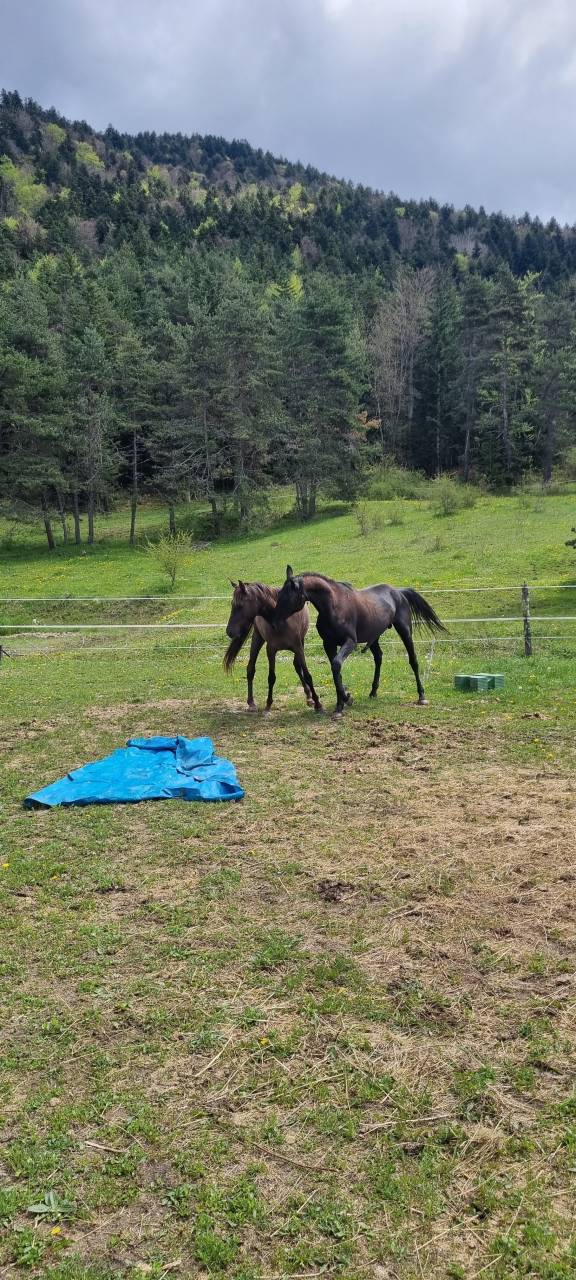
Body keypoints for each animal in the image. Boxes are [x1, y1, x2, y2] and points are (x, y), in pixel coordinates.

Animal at [224, 581, 324, 713]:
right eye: (232, 604)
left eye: (240, 605)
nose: (229, 631)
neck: (281, 621)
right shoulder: (271, 651)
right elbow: (271, 677)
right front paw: (268, 705)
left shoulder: (298, 648)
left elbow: (307, 675)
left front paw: (318, 703)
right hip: (257, 638)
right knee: (250, 669)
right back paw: (251, 703)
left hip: (301, 642)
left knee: (297, 666)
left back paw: (309, 697)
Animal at [270, 567, 446, 715]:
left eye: (286, 596)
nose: (274, 621)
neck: (333, 606)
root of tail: (398, 592)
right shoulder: (329, 644)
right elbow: (336, 671)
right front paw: (340, 706)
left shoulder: (350, 643)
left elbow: (336, 665)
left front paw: (347, 699)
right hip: (374, 638)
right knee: (379, 658)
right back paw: (373, 692)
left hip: (405, 631)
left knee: (413, 660)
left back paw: (421, 696)